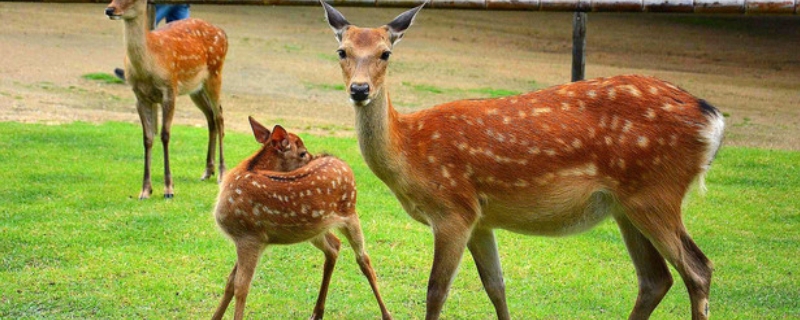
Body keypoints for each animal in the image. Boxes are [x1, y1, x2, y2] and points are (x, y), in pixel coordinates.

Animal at [104, 0, 227, 199]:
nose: (109, 9)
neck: (149, 66)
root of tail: (223, 33)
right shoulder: (140, 97)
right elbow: (147, 138)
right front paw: (145, 190)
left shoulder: (169, 91)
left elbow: (165, 135)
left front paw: (169, 189)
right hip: (195, 88)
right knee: (210, 117)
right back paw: (207, 171)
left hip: (215, 73)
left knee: (219, 116)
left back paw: (222, 174)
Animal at [209, 117, 390, 320]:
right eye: (302, 152)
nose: (313, 158)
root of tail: (340, 161)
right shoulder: (247, 240)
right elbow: (231, 282)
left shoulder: (250, 237)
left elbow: (241, 287)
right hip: (314, 228)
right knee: (334, 247)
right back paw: (317, 312)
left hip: (350, 213)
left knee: (364, 259)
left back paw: (386, 314)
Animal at [318, 2, 724, 320]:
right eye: (342, 51)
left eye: (386, 53)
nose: (359, 89)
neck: (409, 152)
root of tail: (714, 120)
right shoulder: (479, 219)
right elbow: (496, 286)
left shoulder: (452, 209)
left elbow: (436, 292)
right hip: (626, 206)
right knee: (656, 279)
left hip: (656, 192)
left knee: (698, 270)